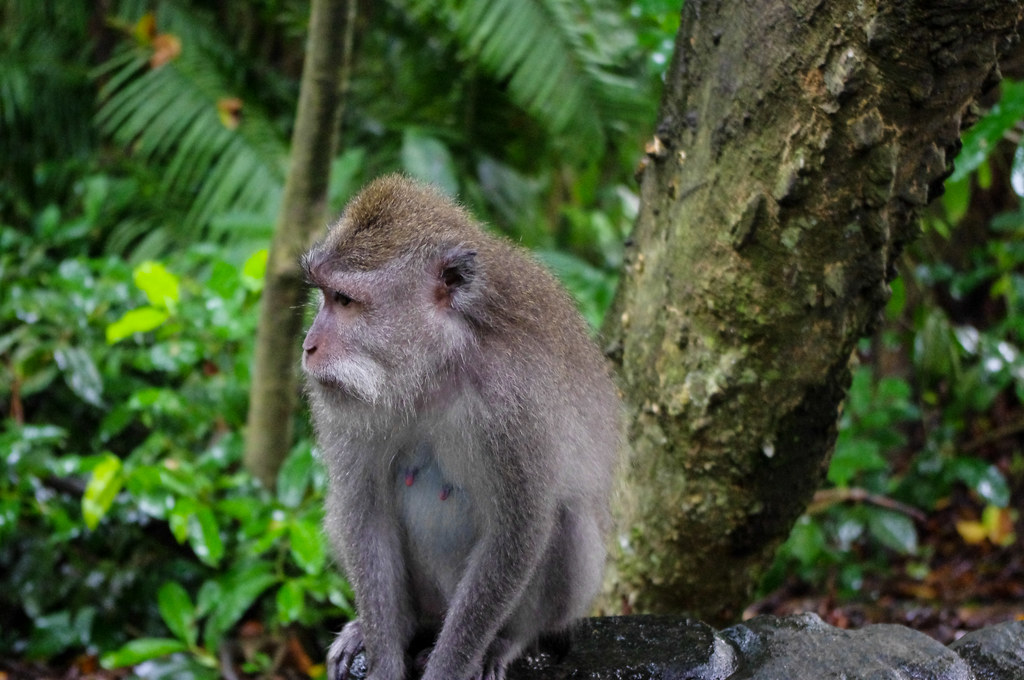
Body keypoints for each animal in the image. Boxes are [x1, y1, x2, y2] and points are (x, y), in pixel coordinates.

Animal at [300, 175, 621, 680]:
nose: (309, 346)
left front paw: (449, 667)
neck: (434, 370)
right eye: (324, 295)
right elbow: (365, 512)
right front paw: (384, 660)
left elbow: (518, 530)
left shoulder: (513, 402)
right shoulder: (346, 404)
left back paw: (508, 640)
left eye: (345, 301)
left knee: (565, 521)